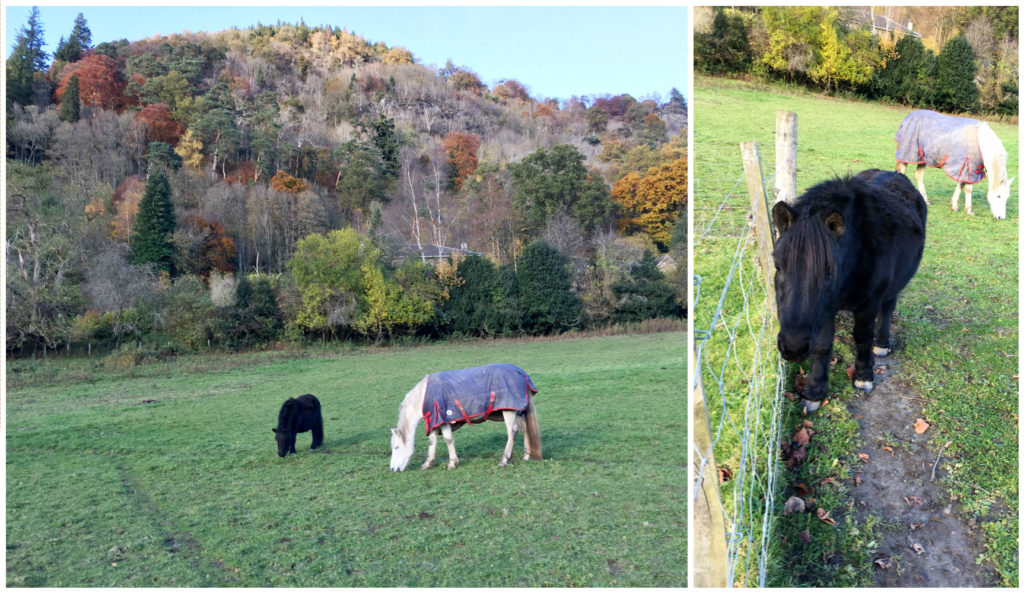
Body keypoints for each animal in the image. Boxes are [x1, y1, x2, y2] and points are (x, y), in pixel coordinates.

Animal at [385, 364, 544, 471]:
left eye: (396, 447)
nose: (392, 469)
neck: (424, 396)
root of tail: (521, 373)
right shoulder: (435, 421)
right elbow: (432, 441)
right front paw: (428, 463)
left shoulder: (443, 419)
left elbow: (448, 439)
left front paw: (452, 463)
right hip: (518, 411)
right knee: (525, 429)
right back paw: (526, 456)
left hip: (509, 411)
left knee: (512, 432)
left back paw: (504, 459)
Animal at [770, 171, 925, 413]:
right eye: (778, 266)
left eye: (828, 271)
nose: (793, 348)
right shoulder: (826, 308)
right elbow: (822, 346)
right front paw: (814, 392)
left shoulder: (868, 304)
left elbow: (862, 337)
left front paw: (864, 376)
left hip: (893, 287)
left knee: (888, 308)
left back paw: (881, 344)